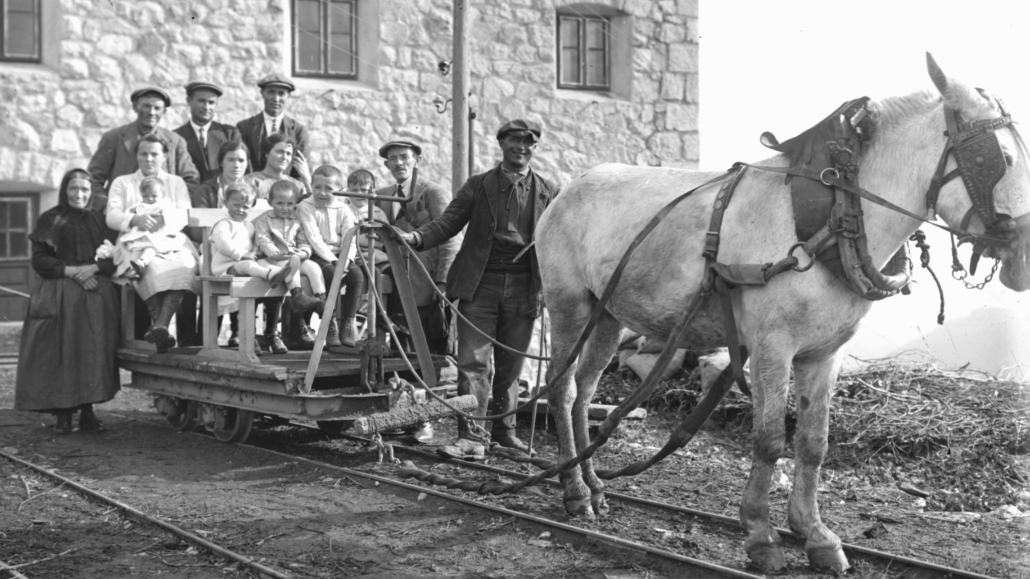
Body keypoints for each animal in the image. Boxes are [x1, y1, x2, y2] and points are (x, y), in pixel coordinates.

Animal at [535, 55, 1030, 573]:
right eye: (999, 158)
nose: (1024, 251)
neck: (833, 217)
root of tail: (568, 188)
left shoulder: (822, 354)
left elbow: (813, 443)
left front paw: (814, 534)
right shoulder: (773, 346)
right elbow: (770, 438)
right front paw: (760, 534)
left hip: (608, 314)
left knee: (585, 389)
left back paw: (592, 484)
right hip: (569, 304)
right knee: (562, 388)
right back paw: (574, 491)